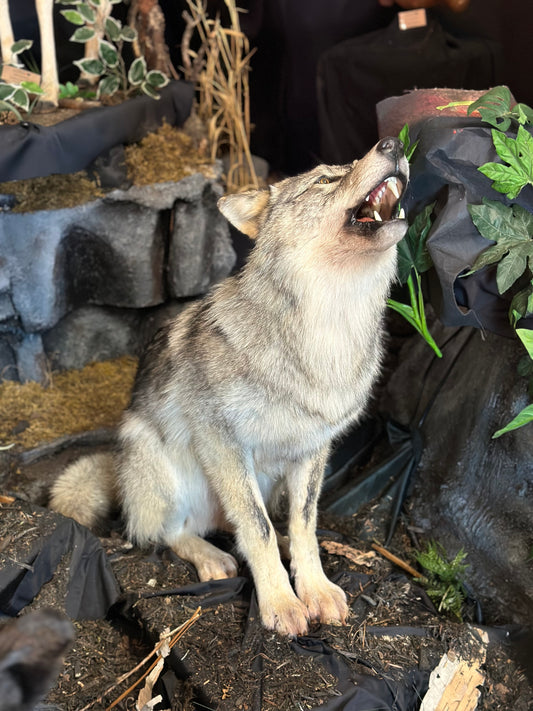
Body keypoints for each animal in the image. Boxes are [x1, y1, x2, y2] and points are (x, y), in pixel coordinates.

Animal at [50, 137, 409, 637]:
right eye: (325, 179)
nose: (393, 143)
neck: (328, 330)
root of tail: (117, 468)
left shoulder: (314, 449)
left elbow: (305, 526)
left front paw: (314, 589)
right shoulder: (224, 443)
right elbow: (256, 530)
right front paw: (280, 603)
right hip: (163, 466)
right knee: (169, 533)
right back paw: (211, 557)